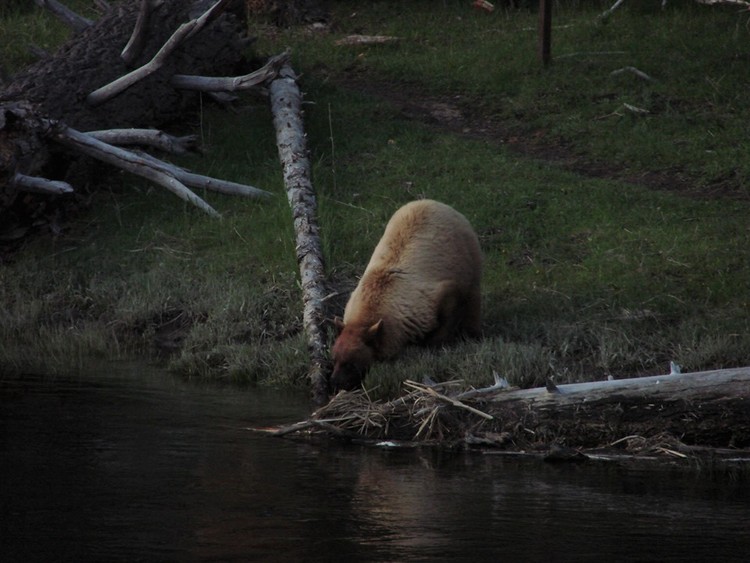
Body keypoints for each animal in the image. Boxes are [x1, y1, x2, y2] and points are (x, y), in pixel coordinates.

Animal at [332, 199, 484, 392]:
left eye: (350, 364)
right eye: (334, 359)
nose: (334, 382)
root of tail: (433, 202)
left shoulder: (429, 298)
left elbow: (449, 309)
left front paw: (434, 344)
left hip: (467, 254)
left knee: (474, 296)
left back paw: (473, 333)